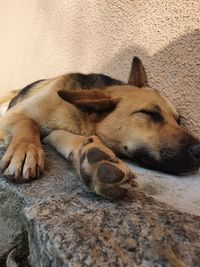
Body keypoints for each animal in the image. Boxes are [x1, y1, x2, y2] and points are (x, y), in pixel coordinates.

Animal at [0, 57, 199, 199]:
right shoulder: (11, 115)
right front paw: (26, 151)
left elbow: (64, 135)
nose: (199, 149)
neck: (82, 115)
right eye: (149, 113)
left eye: (179, 120)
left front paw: (94, 157)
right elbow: (29, 122)